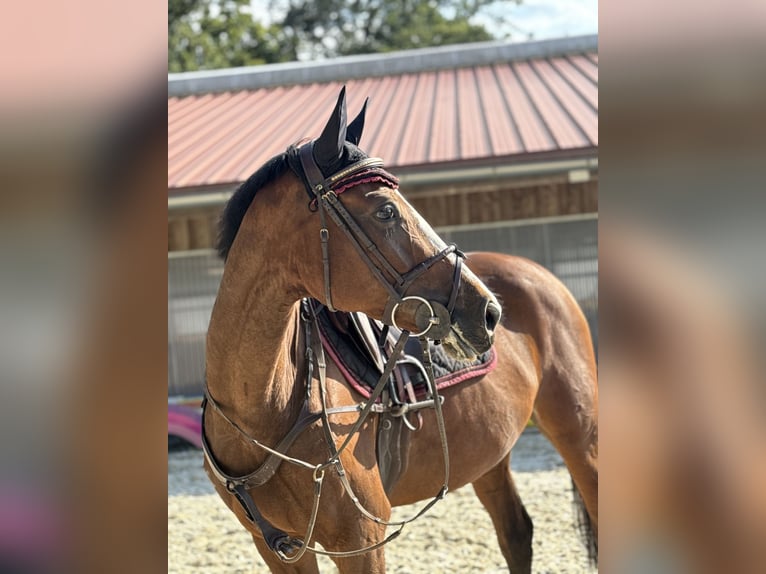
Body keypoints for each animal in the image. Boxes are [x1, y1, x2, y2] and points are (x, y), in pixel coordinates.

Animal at [204, 88, 600, 572]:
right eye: (387, 210)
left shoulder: (362, 539)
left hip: (581, 436)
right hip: (490, 454)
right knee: (516, 533)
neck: (263, 407)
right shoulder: (277, 548)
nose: (488, 312)